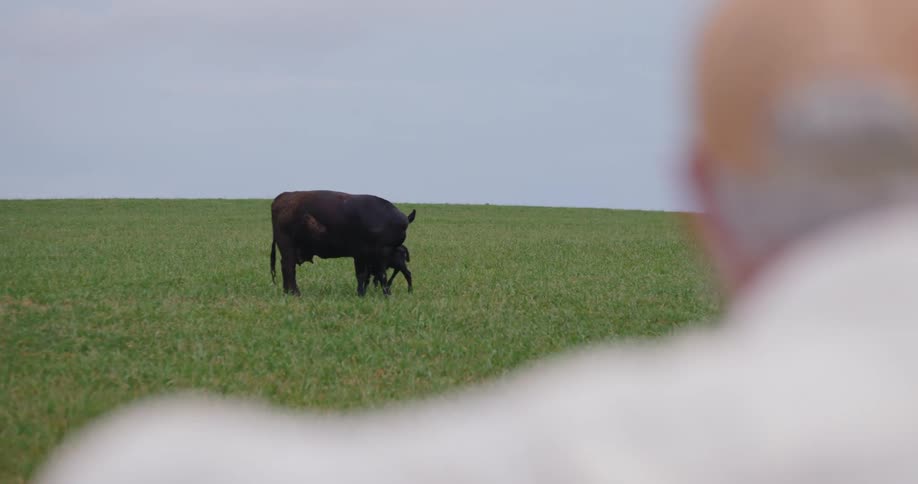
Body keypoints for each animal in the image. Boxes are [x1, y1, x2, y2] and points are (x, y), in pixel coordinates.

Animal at [269, 190, 416, 297]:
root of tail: (283, 197)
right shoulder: (376, 255)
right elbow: (377, 275)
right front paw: (383, 294)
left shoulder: (364, 257)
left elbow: (364, 276)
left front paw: (362, 293)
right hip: (287, 248)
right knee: (289, 268)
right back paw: (294, 293)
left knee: (287, 267)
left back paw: (287, 292)